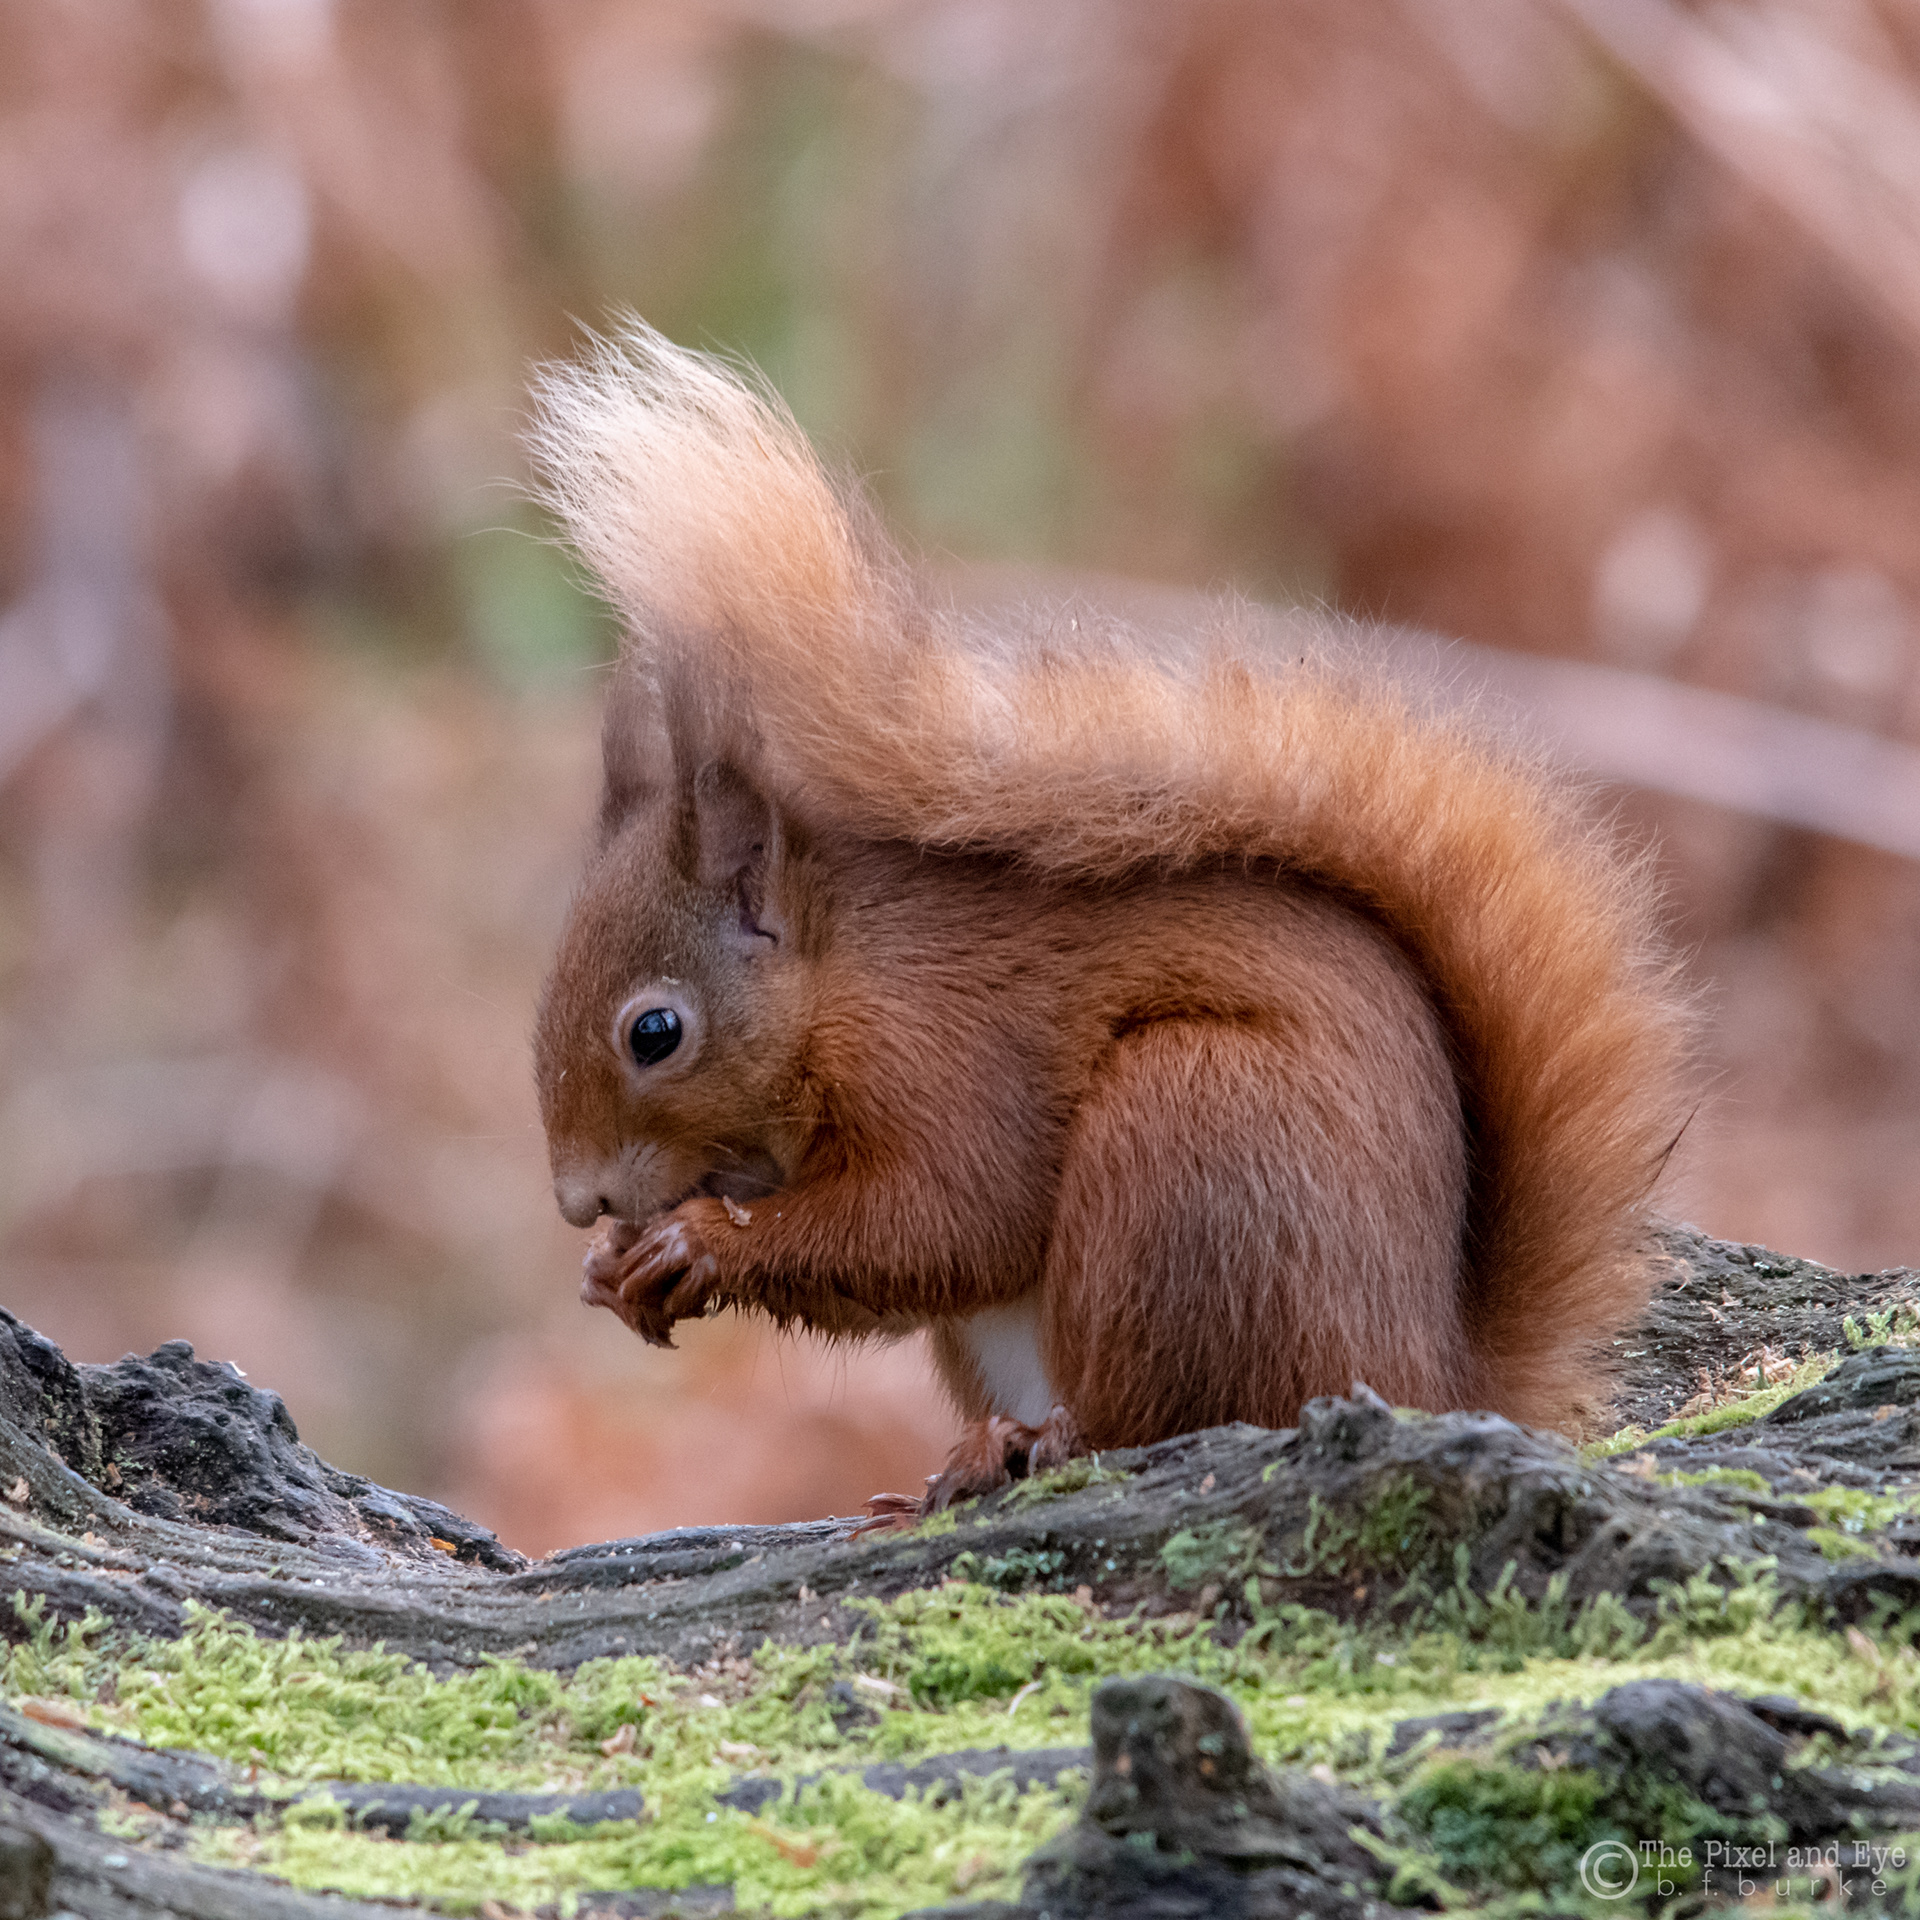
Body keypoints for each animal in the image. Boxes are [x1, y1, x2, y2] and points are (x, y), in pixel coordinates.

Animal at [528, 322, 1693, 1514]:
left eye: (655, 1032)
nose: (580, 1201)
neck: (841, 980)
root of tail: (1431, 1380)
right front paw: (610, 1273)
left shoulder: (946, 1057)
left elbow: (949, 1220)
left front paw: (697, 1244)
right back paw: (972, 1461)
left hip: (1191, 1139)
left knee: (1162, 1416)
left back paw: (1050, 1442)